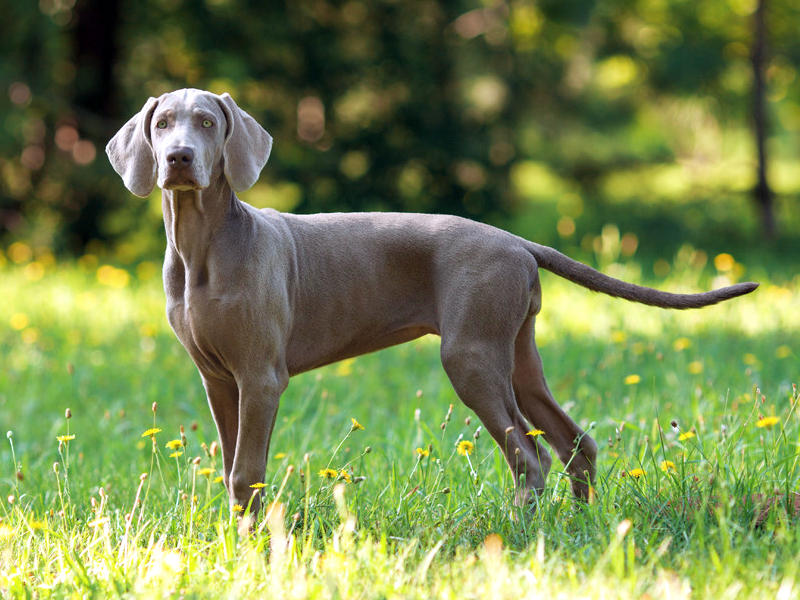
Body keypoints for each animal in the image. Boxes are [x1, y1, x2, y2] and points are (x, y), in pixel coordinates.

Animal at [106, 89, 756, 516]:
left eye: (207, 122)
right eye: (162, 124)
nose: (179, 158)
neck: (203, 245)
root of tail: (516, 240)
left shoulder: (261, 377)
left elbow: (248, 472)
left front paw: (253, 545)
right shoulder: (218, 378)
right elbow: (230, 470)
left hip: (470, 354)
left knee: (530, 456)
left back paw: (520, 532)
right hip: (516, 353)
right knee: (574, 442)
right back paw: (584, 524)